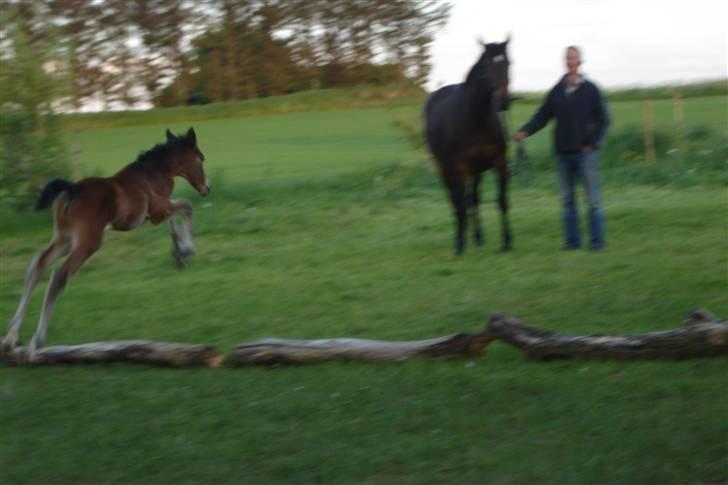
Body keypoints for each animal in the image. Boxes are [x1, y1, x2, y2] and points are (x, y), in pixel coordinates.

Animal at [2, 126, 208, 358]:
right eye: (201, 158)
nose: (206, 188)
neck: (153, 174)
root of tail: (72, 189)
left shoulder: (157, 213)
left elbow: (175, 219)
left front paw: (179, 254)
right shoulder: (159, 208)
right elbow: (186, 206)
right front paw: (187, 250)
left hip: (64, 239)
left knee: (37, 266)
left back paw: (10, 338)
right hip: (87, 243)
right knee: (59, 276)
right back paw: (36, 340)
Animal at [426, 36, 512, 253]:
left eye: (508, 63)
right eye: (487, 65)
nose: (503, 101)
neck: (476, 118)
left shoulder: (499, 163)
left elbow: (502, 201)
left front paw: (507, 242)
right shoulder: (459, 168)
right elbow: (461, 205)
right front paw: (459, 245)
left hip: (476, 172)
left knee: (472, 199)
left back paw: (478, 237)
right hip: (447, 169)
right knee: (456, 201)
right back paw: (463, 237)